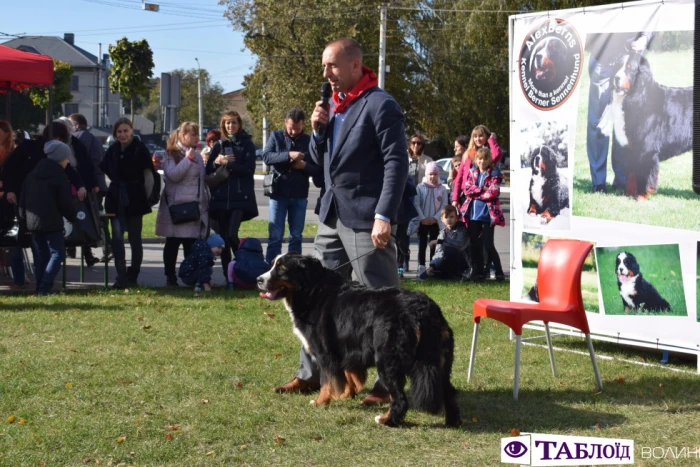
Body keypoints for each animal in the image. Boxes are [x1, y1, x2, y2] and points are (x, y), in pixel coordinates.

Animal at [256, 254, 460, 430]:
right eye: (273, 264)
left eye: (281, 269)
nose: (258, 279)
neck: (312, 290)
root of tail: (422, 309)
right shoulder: (347, 347)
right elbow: (349, 375)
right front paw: (346, 394)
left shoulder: (325, 353)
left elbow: (327, 381)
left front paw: (321, 401)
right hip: (442, 360)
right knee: (449, 391)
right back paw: (453, 421)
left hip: (388, 360)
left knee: (400, 398)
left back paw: (386, 420)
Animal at [604, 53, 692, 199]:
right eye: (618, 66)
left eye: (629, 67)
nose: (616, 78)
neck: (638, 96)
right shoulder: (631, 148)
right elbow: (631, 174)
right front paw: (628, 194)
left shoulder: (647, 150)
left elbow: (644, 175)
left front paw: (641, 196)